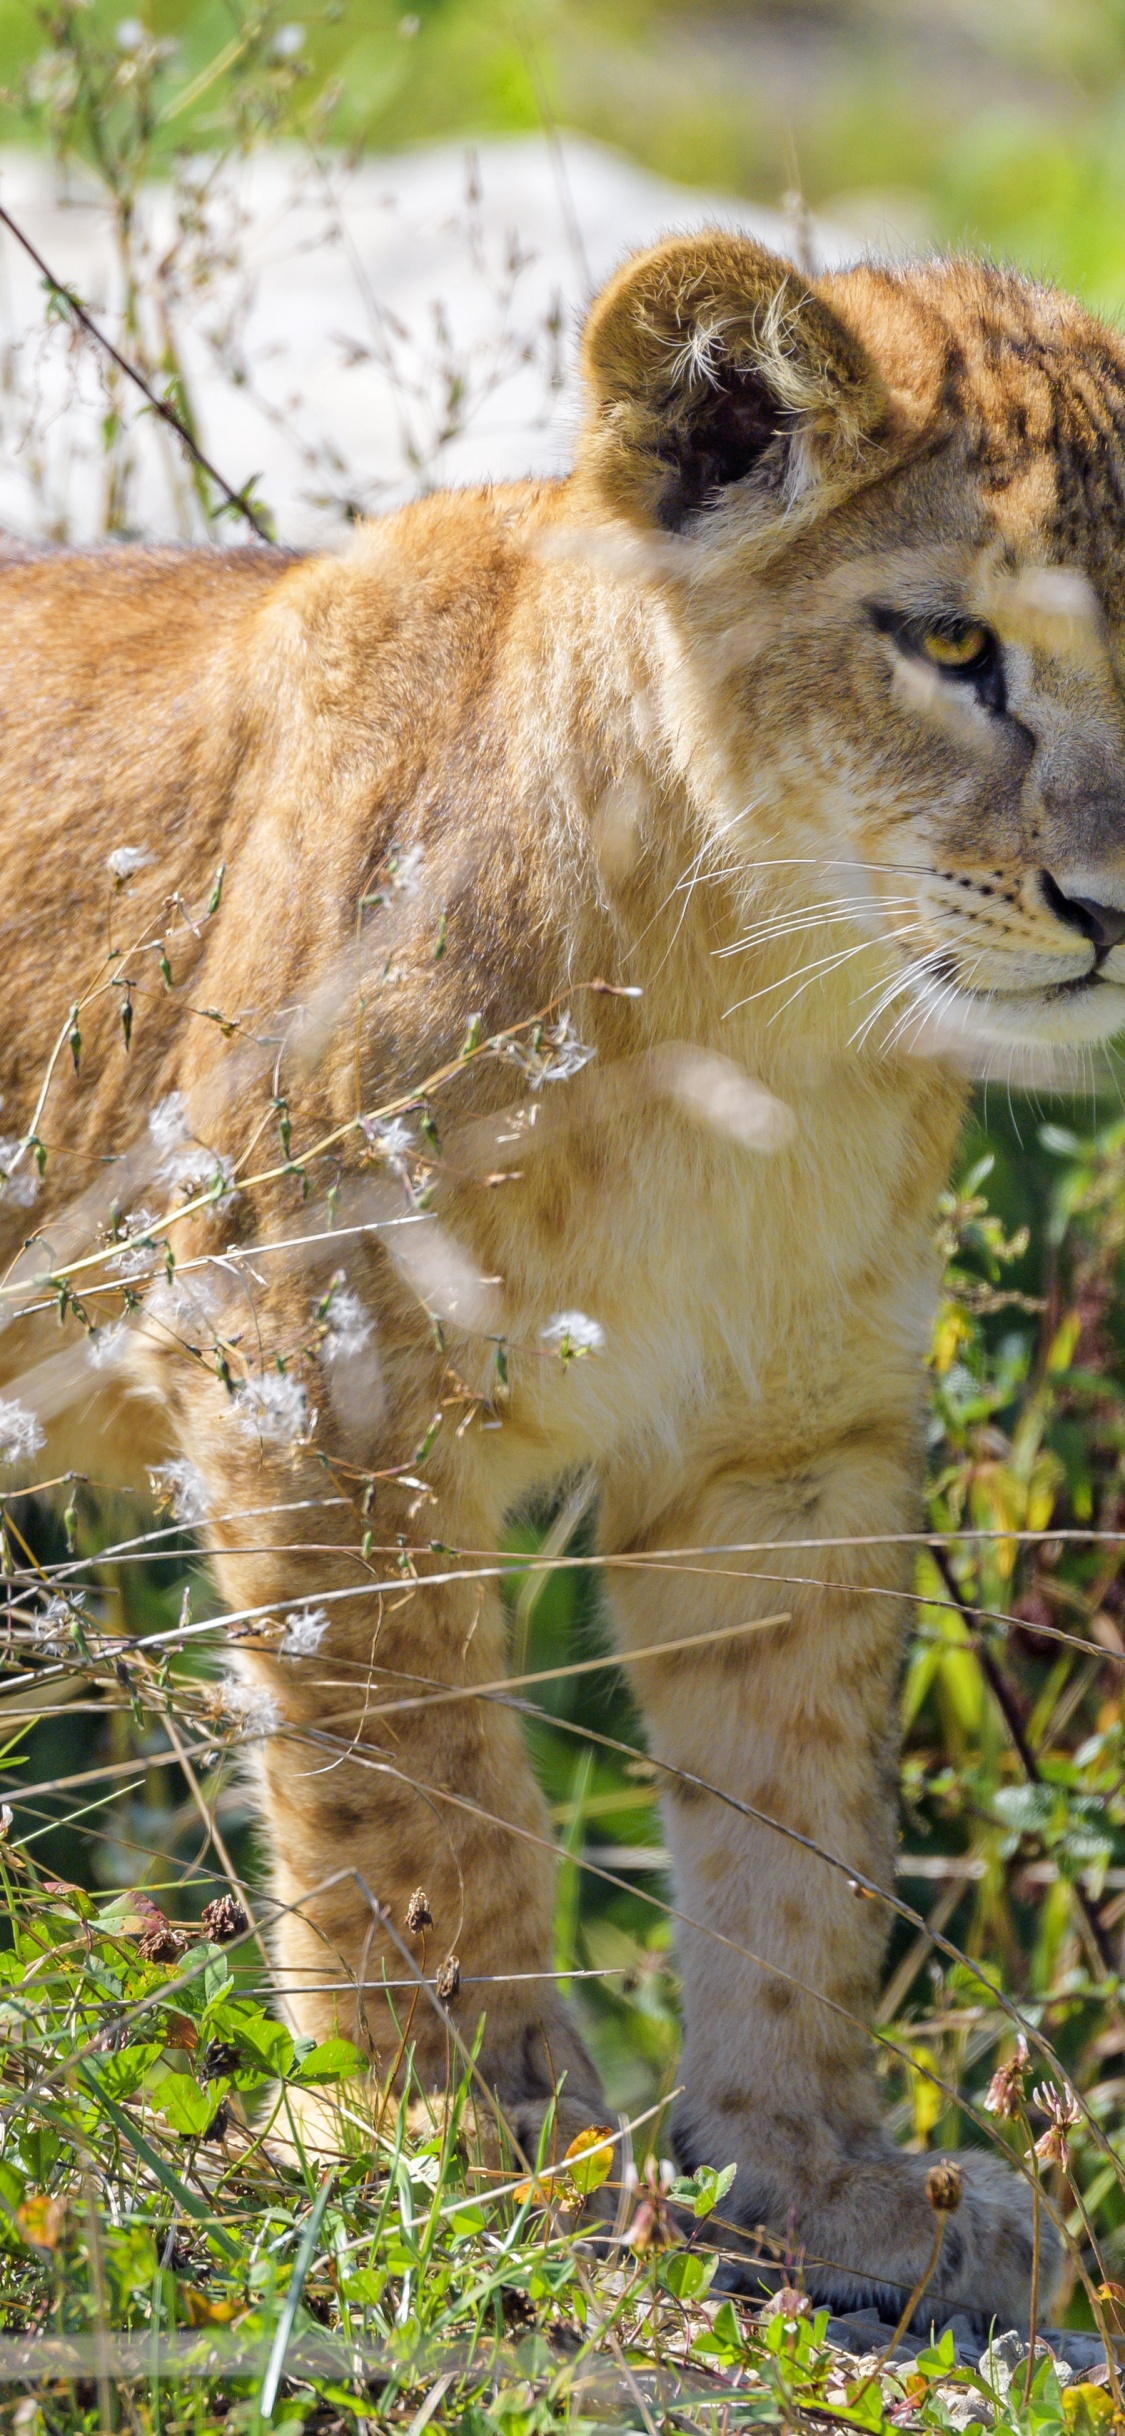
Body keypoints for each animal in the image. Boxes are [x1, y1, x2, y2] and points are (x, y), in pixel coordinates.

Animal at [1, 230, 1121, 2326]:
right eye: (951, 649)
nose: (1120, 908)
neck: (761, 1004)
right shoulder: (312, 1365)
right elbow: (417, 1791)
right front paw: (470, 2141)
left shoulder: (785, 1447)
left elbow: (798, 1829)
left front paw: (819, 2180)